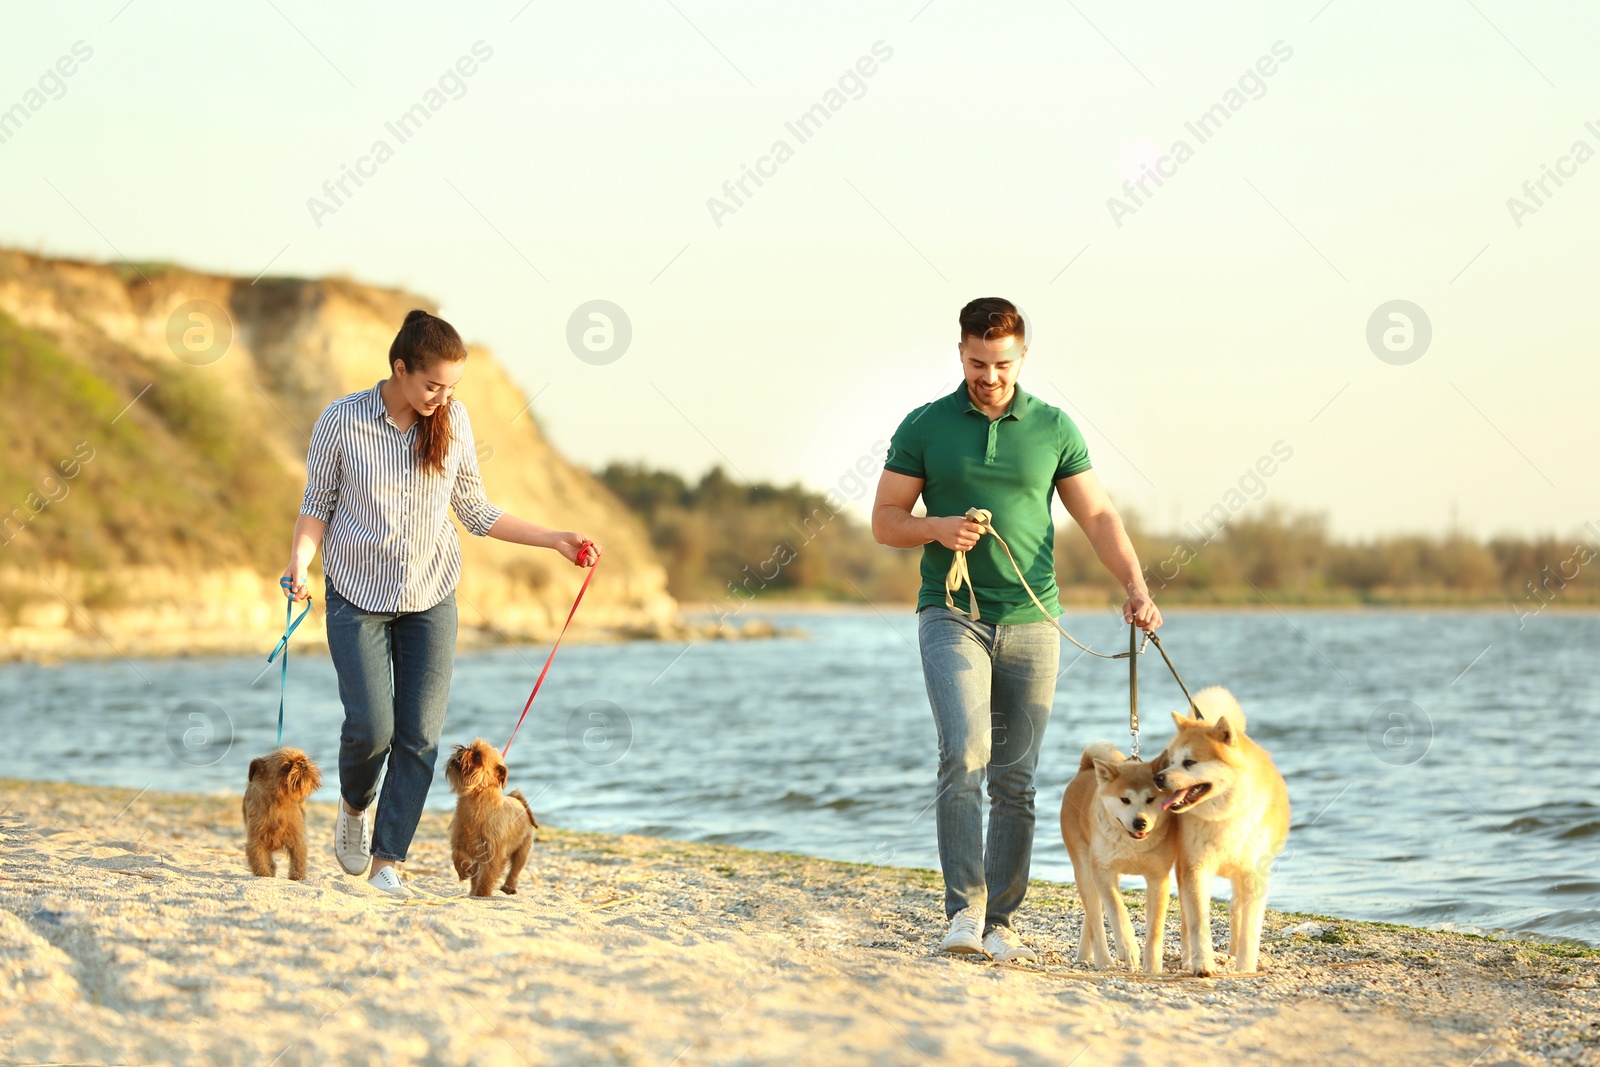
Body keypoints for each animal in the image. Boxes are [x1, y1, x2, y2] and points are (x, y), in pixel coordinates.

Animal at [240, 748, 321, 883]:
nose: (302, 764)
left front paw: (297, 877)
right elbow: (259, 859)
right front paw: (264, 875)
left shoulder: (297, 839)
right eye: (287, 766)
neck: (278, 803)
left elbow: (297, 861)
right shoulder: (256, 840)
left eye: (303, 760)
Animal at [444, 739, 537, 895]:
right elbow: (458, 856)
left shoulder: (494, 854)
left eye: (477, 756)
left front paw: (481, 894)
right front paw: (464, 871)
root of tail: (518, 800)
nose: (461, 749)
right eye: (469, 747)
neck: (475, 802)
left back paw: (508, 887)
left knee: (515, 870)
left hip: (522, 850)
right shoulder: (459, 841)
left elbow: (486, 878)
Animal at [1152, 687, 1286, 979]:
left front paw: (1245, 967)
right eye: (1171, 761)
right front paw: (1203, 964)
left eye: (1189, 762)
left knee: (1236, 908)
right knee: (1186, 921)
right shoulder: (1195, 869)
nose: (1158, 778)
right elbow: (1198, 923)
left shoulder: (1255, 875)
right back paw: (1188, 960)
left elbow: (1250, 930)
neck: (1225, 817)